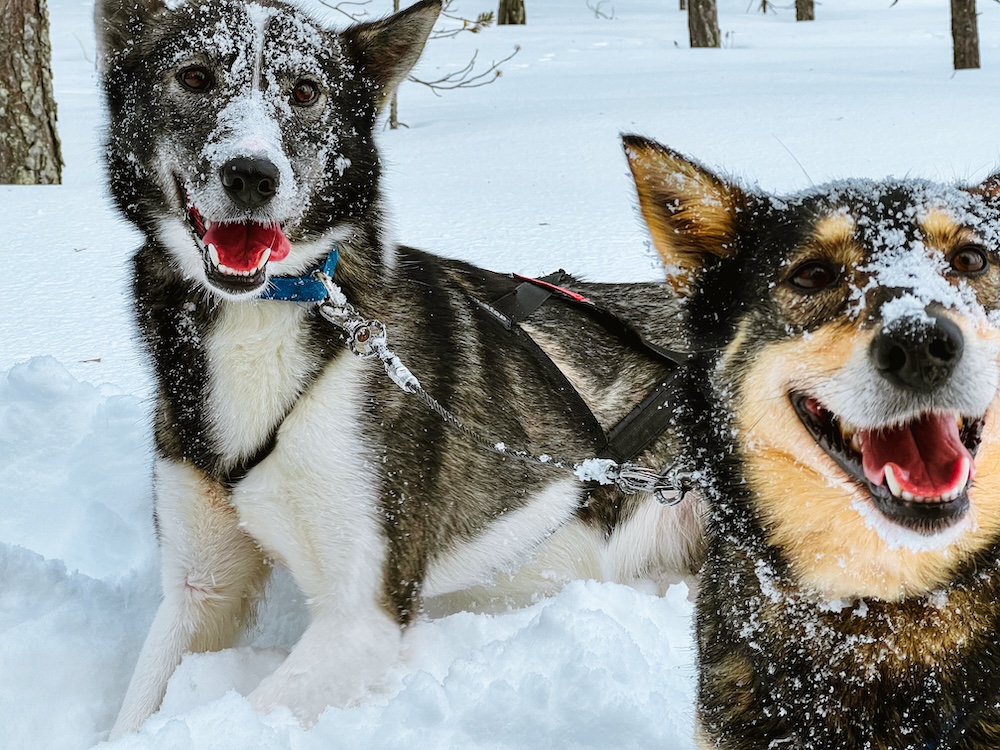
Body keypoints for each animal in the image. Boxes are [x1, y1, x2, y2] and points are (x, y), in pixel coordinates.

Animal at [97, 0, 700, 740]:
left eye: (305, 91)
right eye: (194, 76)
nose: (251, 174)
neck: (268, 319)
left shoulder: (363, 616)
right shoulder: (199, 589)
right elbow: (135, 715)